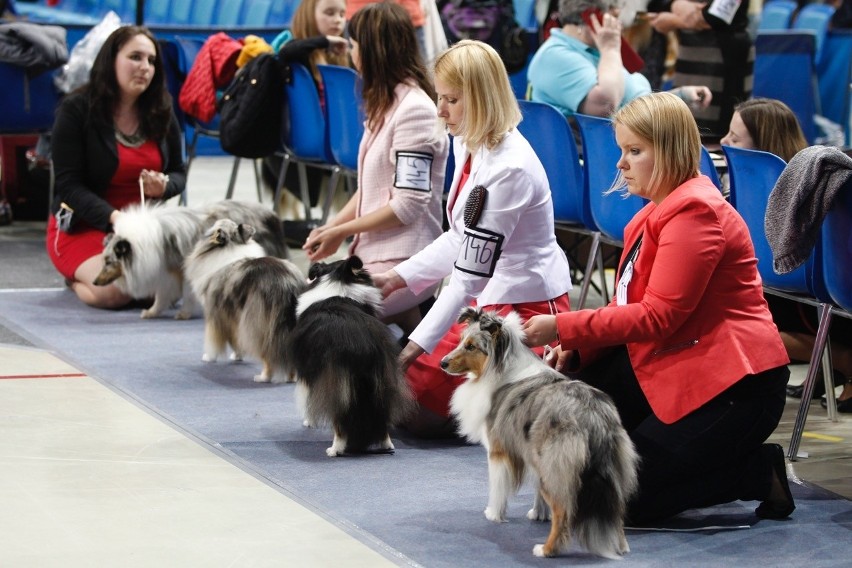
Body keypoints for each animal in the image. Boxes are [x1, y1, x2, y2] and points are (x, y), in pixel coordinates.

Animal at [186, 220, 306, 384]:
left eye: (218, 225)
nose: (211, 223)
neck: (231, 246)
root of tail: (287, 283)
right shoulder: (236, 319)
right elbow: (237, 340)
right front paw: (237, 356)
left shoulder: (217, 314)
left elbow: (215, 339)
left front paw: (209, 357)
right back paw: (291, 377)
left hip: (259, 325)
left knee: (267, 354)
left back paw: (263, 377)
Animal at [288, 258, 414, 458]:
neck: (338, 286)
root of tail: (363, 342)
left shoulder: (308, 371)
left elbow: (308, 399)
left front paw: (309, 422)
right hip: (383, 381)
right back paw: (386, 444)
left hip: (338, 383)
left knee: (340, 419)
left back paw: (335, 449)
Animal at [442, 306, 636, 560]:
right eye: (461, 341)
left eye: (471, 346)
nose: (442, 363)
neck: (500, 367)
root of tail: (592, 415)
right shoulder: (530, 452)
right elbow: (536, 488)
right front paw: (538, 513)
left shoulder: (499, 451)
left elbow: (497, 487)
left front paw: (493, 513)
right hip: (611, 468)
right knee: (617, 508)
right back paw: (620, 546)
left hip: (556, 465)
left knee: (564, 511)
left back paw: (546, 549)